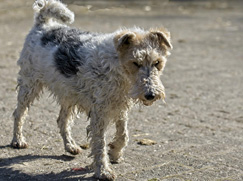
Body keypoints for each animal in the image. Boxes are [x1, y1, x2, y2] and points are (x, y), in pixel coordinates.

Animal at [10, 0, 172, 180]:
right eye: (135, 63)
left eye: (157, 62)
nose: (151, 95)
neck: (117, 66)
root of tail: (44, 25)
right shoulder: (100, 112)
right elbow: (100, 143)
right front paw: (103, 170)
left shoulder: (119, 105)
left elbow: (123, 134)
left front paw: (115, 153)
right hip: (29, 84)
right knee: (19, 113)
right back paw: (18, 140)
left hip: (68, 93)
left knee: (62, 120)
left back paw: (71, 146)